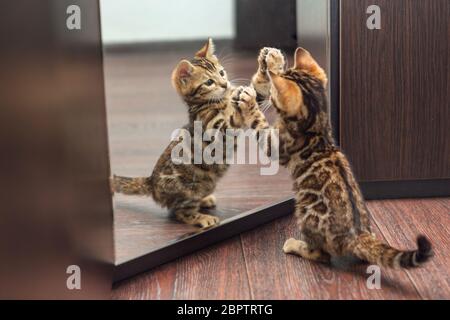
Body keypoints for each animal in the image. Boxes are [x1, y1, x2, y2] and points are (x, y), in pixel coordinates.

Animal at [111, 38, 268, 228]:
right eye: (209, 82)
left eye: (222, 72)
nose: (225, 84)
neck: (218, 101)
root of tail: (152, 182)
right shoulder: (217, 131)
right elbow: (233, 118)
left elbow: (256, 92)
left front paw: (265, 67)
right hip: (192, 188)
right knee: (180, 212)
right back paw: (203, 218)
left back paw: (205, 200)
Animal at [253, 47, 432, 268]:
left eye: (273, 95)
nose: (269, 97)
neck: (316, 126)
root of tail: (358, 235)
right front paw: (268, 62)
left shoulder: (276, 144)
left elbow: (258, 124)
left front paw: (247, 103)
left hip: (304, 212)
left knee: (321, 254)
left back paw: (294, 245)